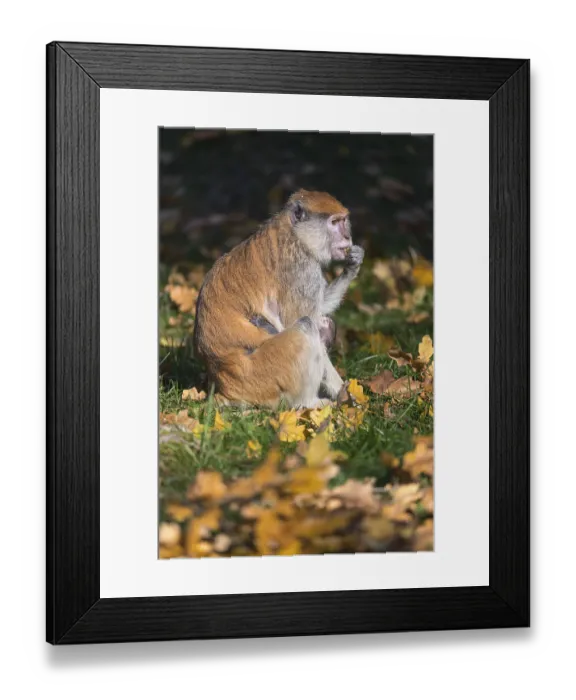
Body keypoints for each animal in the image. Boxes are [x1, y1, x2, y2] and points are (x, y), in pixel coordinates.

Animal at [193, 189, 364, 408]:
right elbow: (301, 319)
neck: (296, 234)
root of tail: (225, 388)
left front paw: (353, 264)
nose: (346, 236)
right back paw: (308, 403)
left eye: (344, 221)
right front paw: (344, 393)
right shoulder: (300, 269)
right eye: (334, 222)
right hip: (266, 375)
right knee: (306, 325)